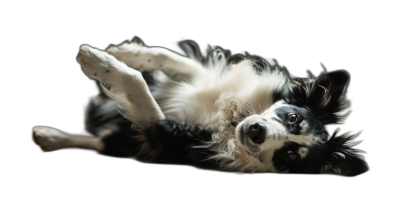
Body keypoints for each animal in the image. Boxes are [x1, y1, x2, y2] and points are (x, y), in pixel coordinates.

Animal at [31, 38, 368, 177]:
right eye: (294, 117)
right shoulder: (201, 79)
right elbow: (170, 58)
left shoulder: (163, 137)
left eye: (290, 156)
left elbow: (137, 83)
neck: (231, 121)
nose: (256, 131)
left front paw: (98, 62)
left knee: (99, 143)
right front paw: (125, 52)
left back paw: (48, 137)